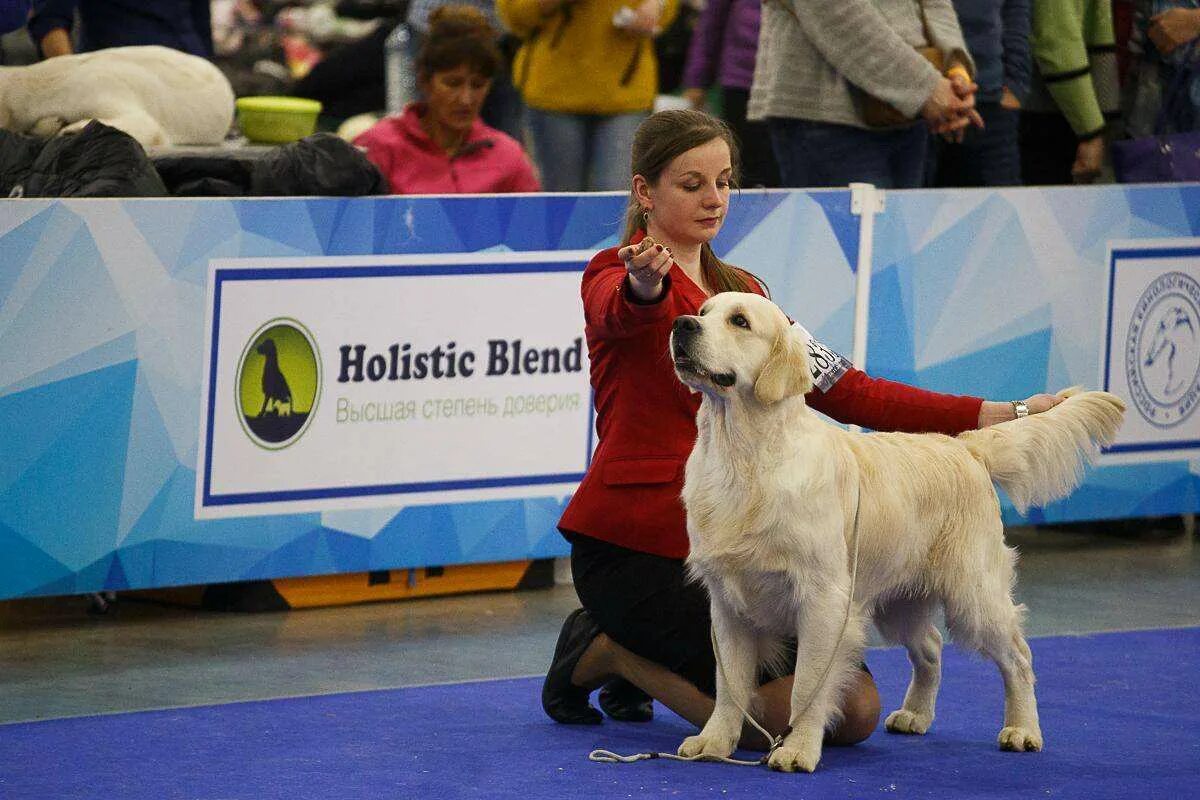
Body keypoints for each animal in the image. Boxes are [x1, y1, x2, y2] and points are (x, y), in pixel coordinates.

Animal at [672, 293, 1128, 777]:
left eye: (739, 321)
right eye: (702, 313)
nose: (681, 325)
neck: (744, 457)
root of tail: (967, 449)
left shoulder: (823, 598)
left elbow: (809, 686)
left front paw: (797, 749)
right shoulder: (728, 602)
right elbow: (730, 684)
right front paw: (714, 741)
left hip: (973, 595)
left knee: (1018, 657)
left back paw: (1022, 730)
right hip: (897, 601)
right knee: (930, 646)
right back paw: (915, 714)